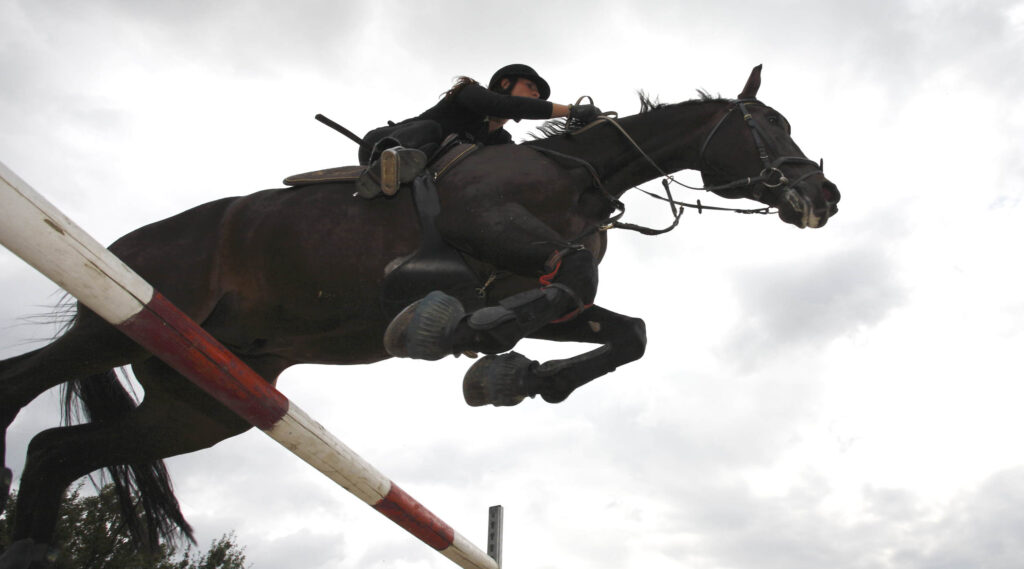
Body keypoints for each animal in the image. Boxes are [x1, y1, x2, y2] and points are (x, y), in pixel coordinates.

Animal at [0, 65, 839, 567]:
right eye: (767, 124)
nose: (824, 196)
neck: (582, 172)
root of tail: (122, 243)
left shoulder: (525, 281)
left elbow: (619, 327)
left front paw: (509, 372)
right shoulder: (494, 229)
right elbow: (575, 274)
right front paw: (456, 335)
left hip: (202, 402)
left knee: (55, 450)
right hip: (116, 320)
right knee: (20, 388)